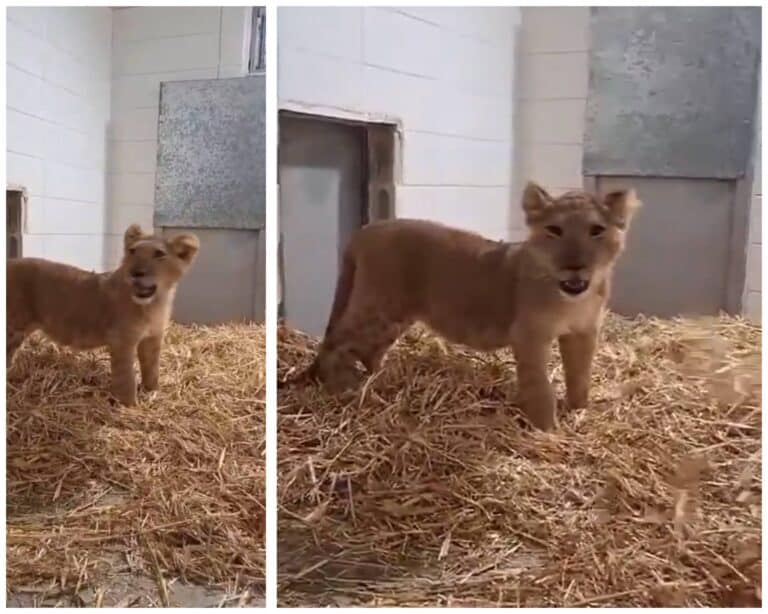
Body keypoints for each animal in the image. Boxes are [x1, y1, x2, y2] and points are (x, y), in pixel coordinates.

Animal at [7, 224, 200, 406]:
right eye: (132, 251)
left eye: (159, 254)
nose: (135, 273)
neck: (154, 303)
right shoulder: (122, 341)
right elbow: (126, 376)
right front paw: (130, 405)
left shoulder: (152, 338)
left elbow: (152, 368)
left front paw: (152, 391)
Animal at [286, 181, 640, 430]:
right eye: (554, 230)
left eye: (597, 230)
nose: (575, 266)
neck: (571, 298)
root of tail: (367, 228)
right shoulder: (529, 334)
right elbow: (540, 385)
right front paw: (548, 430)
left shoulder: (583, 332)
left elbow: (580, 375)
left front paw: (580, 412)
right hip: (379, 305)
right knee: (338, 343)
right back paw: (343, 391)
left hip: (395, 314)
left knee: (368, 349)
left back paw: (379, 381)